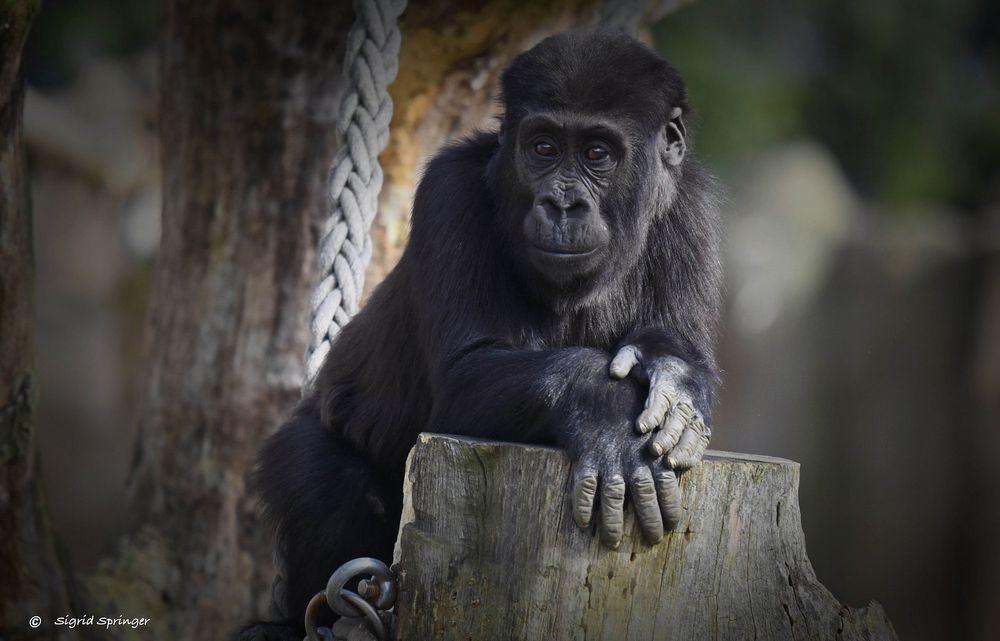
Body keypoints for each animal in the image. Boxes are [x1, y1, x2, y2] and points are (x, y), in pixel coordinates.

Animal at [247, 28, 724, 636]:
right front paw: (607, 411)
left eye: (596, 153)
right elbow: (465, 371)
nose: (562, 203)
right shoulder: (449, 192)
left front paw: (675, 379)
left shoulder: (695, 211)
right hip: (304, 434)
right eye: (543, 148)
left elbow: (685, 349)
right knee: (327, 484)